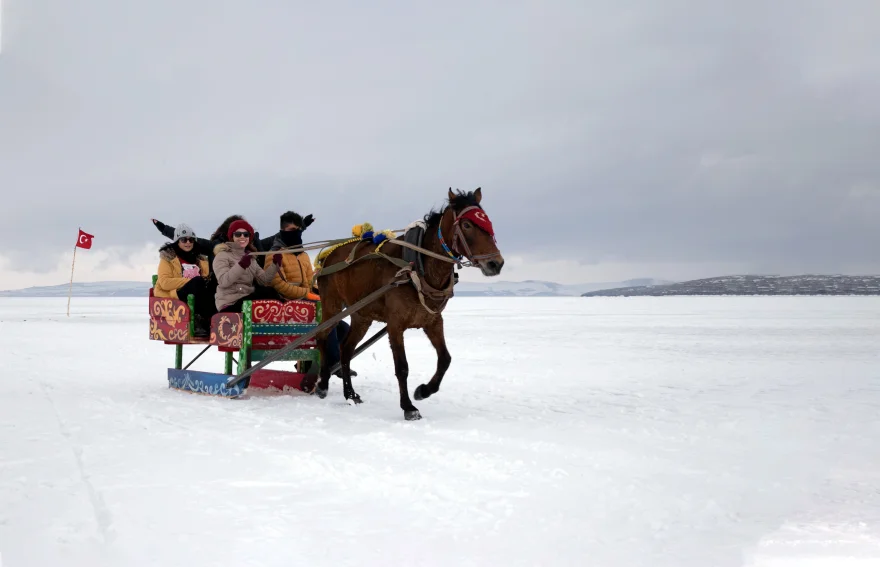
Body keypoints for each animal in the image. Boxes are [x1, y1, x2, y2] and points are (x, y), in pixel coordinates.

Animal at [312, 189, 502, 420]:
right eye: (466, 225)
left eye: (488, 222)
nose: (496, 263)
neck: (417, 267)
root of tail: (327, 256)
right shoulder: (395, 324)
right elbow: (402, 367)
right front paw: (408, 407)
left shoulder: (433, 321)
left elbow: (445, 359)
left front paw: (423, 391)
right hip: (332, 304)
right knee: (322, 336)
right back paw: (322, 384)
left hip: (362, 315)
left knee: (345, 350)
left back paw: (350, 394)